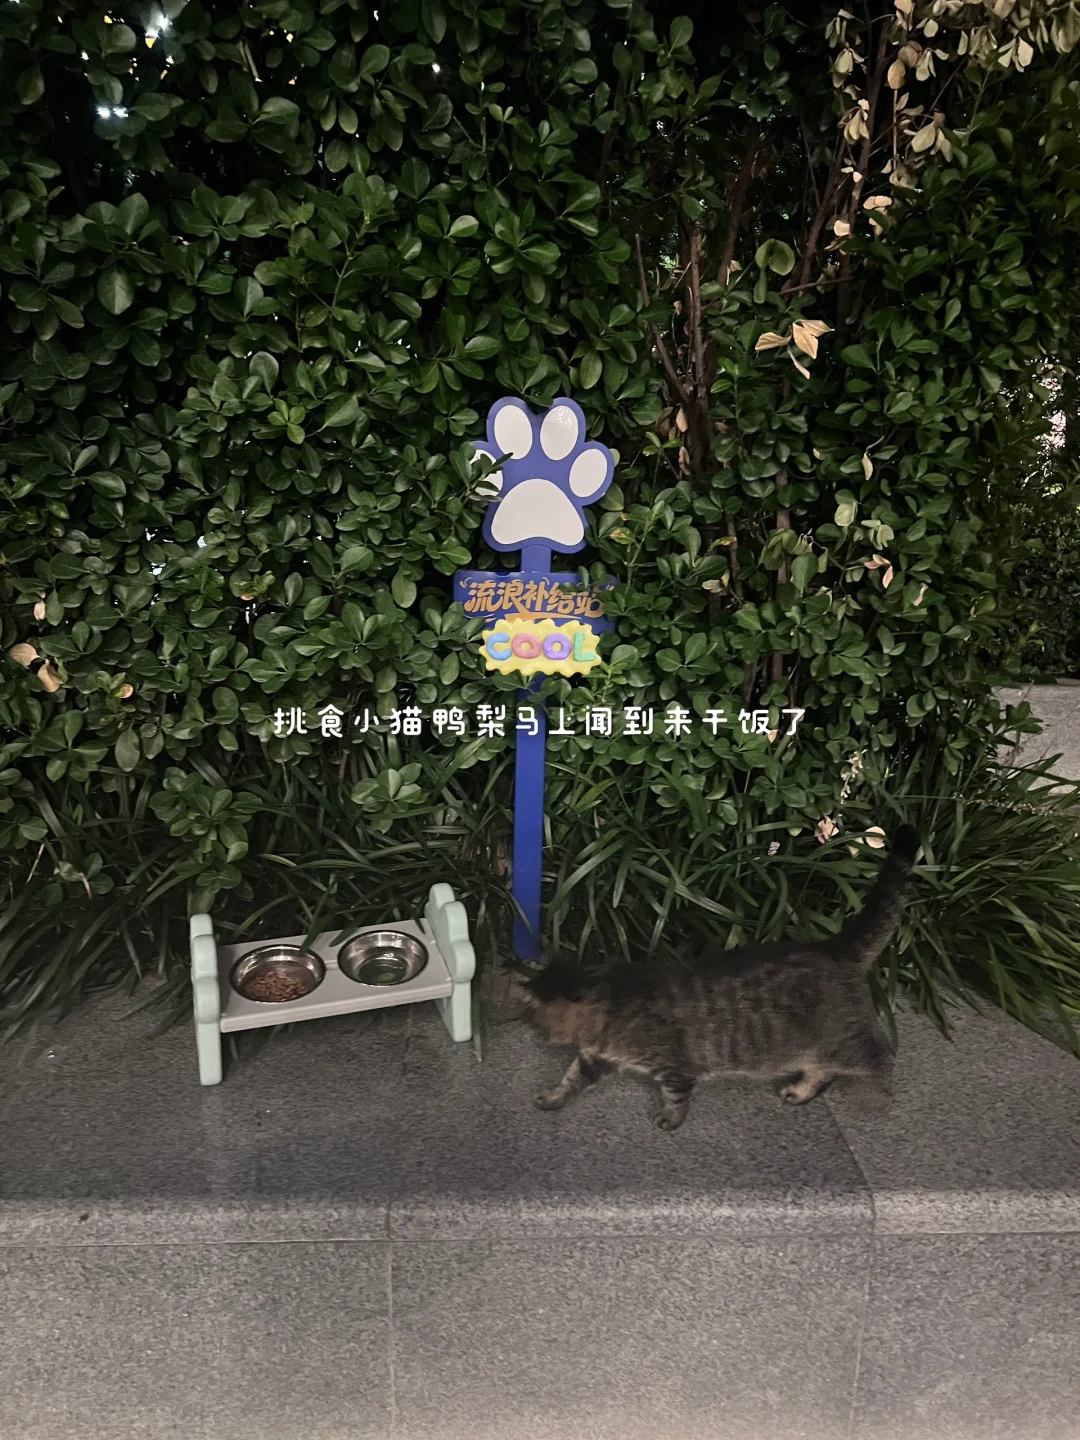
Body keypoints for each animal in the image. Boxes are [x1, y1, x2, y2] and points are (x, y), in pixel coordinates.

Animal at [521, 824, 919, 1130]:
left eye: (534, 1017)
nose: (534, 1033)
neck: (611, 999)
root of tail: (833, 946)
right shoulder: (594, 1058)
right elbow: (571, 1079)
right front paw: (553, 1098)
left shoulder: (674, 1066)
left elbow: (676, 1095)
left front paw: (671, 1120)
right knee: (823, 1070)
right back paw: (800, 1091)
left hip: (841, 1039)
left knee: (879, 1055)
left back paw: (874, 1096)